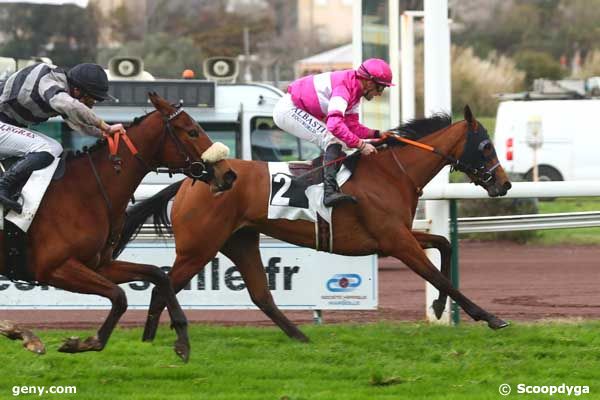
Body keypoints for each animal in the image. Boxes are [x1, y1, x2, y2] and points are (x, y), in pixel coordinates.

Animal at [0, 92, 238, 360]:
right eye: (192, 131)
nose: (228, 174)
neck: (86, 190)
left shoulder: (98, 264)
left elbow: (158, 275)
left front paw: (182, 340)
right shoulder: (54, 267)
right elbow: (119, 296)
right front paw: (86, 342)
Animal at [116, 106, 510, 344]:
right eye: (486, 146)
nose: (504, 184)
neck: (392, 172)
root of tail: (190, 180)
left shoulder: (395, 236)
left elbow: (444, 244)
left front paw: (440, 308)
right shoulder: (395, 241)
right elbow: (439, 275)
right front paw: (490, 317)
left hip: (239, 240)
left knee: (260, 294)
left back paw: (300, 337)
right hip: (199, 248)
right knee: (163, 286)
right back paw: (149, 341)